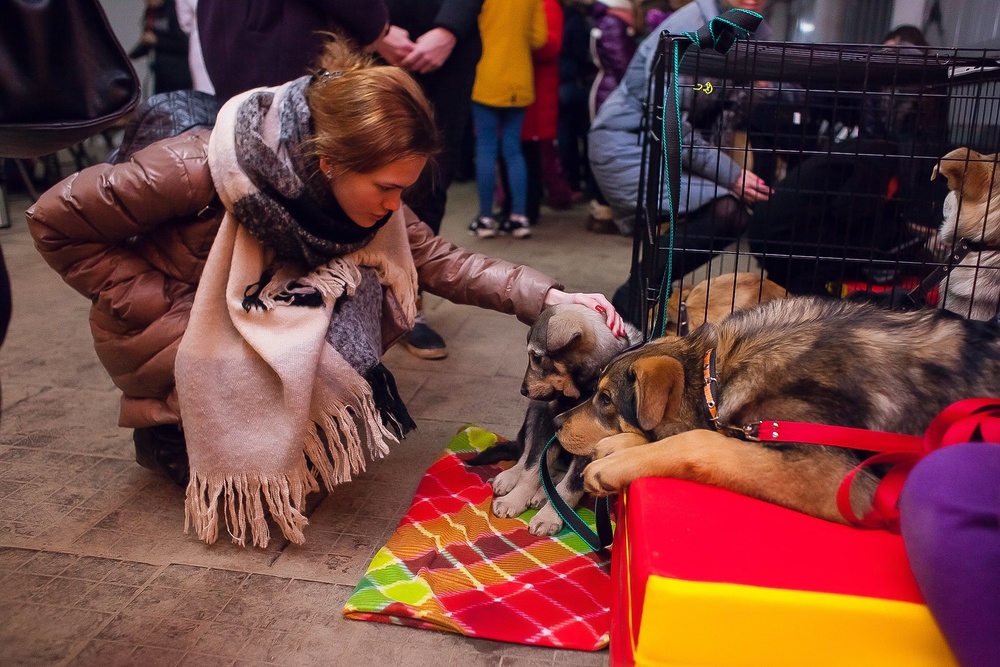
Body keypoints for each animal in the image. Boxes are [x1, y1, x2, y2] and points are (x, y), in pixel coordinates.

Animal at [560, 298, 1000, 528]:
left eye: (605, 400)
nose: (557, 423)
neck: (714, 376)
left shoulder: (836, 479)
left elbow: (699, 441)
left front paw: (613, 463)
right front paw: (621, 445)